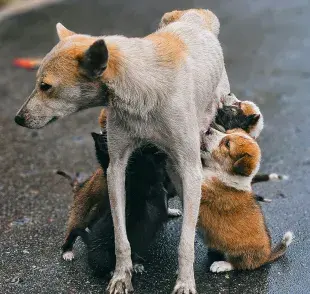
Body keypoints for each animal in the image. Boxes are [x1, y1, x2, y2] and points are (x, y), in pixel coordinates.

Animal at [199, 127, 294, 272]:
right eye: (226, 131)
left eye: (227, 144)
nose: (208, 129)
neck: (220, 172)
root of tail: (266, 257)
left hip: (238, 252)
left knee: (240, 264)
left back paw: (221, 264)